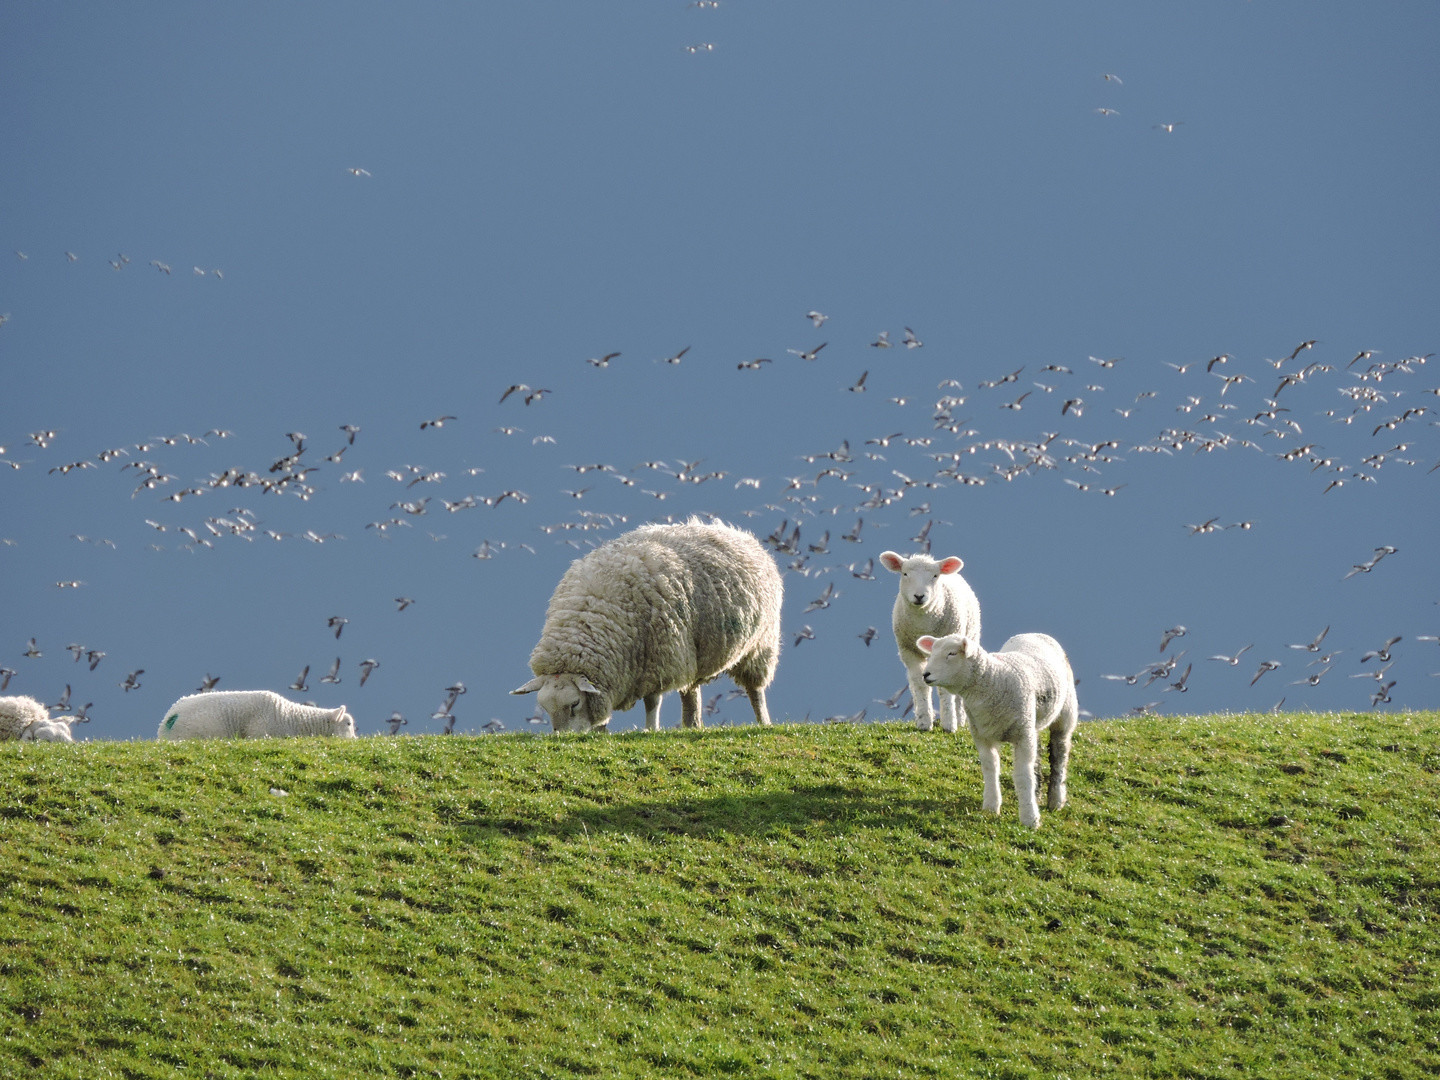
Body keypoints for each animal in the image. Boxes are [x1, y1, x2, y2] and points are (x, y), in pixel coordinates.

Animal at [515, 518, 789, 737]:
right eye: (545, 707)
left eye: (574, 704)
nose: (562, 737)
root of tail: (735, 531)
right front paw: (600, 732)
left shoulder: (658, 659)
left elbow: (652, 701)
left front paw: (650, 729)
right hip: (692, 651)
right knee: (690, 691)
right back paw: (692, 724)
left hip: (761, 643)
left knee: (755, 689)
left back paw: (763, 722)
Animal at [869, 550, 984, 737]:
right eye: (905, 574)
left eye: (935, 576)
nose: (919, 596)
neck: (923, 625)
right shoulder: (908, 650)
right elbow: (918, 682)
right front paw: (924, 721)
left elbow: (945, 688)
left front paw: (949, 724)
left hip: (971, 635)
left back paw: (960, 719)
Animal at [915, 630, 1077, 835]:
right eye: (932, 652)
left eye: (952, 653)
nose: (925, 674)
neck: (993, 679)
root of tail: (1034, 632)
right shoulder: (982, 734)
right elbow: (990, 768)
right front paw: (991, 806)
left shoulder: (1023, 735)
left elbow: (1023, 775)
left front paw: (1030, 818)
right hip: (1033, 723)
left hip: (1065, 713)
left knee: (1059, 753)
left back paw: (1056, 799)